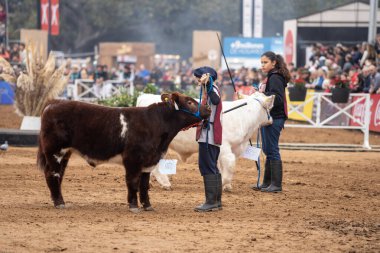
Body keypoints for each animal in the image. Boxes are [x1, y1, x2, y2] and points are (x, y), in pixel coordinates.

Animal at [37, 92, 211, 212]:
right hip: (55, 150)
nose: (208, 108)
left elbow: (144, 185)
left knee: (59, 174)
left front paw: (148, 206)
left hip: (65, 153)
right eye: (189, 101)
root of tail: (54, 103)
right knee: (52, 173)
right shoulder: (132, 159)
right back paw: (60, 203)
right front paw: (133, 206)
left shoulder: (148, 161)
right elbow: (133, 182)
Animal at [137, 92, 274, 191]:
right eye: (269, 108)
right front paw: (223, 183)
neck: (243, 117)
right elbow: (229, 163)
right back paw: (165, 183)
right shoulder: (224, 147)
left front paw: (227, 186)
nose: (271, 120)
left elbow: (223, 166)